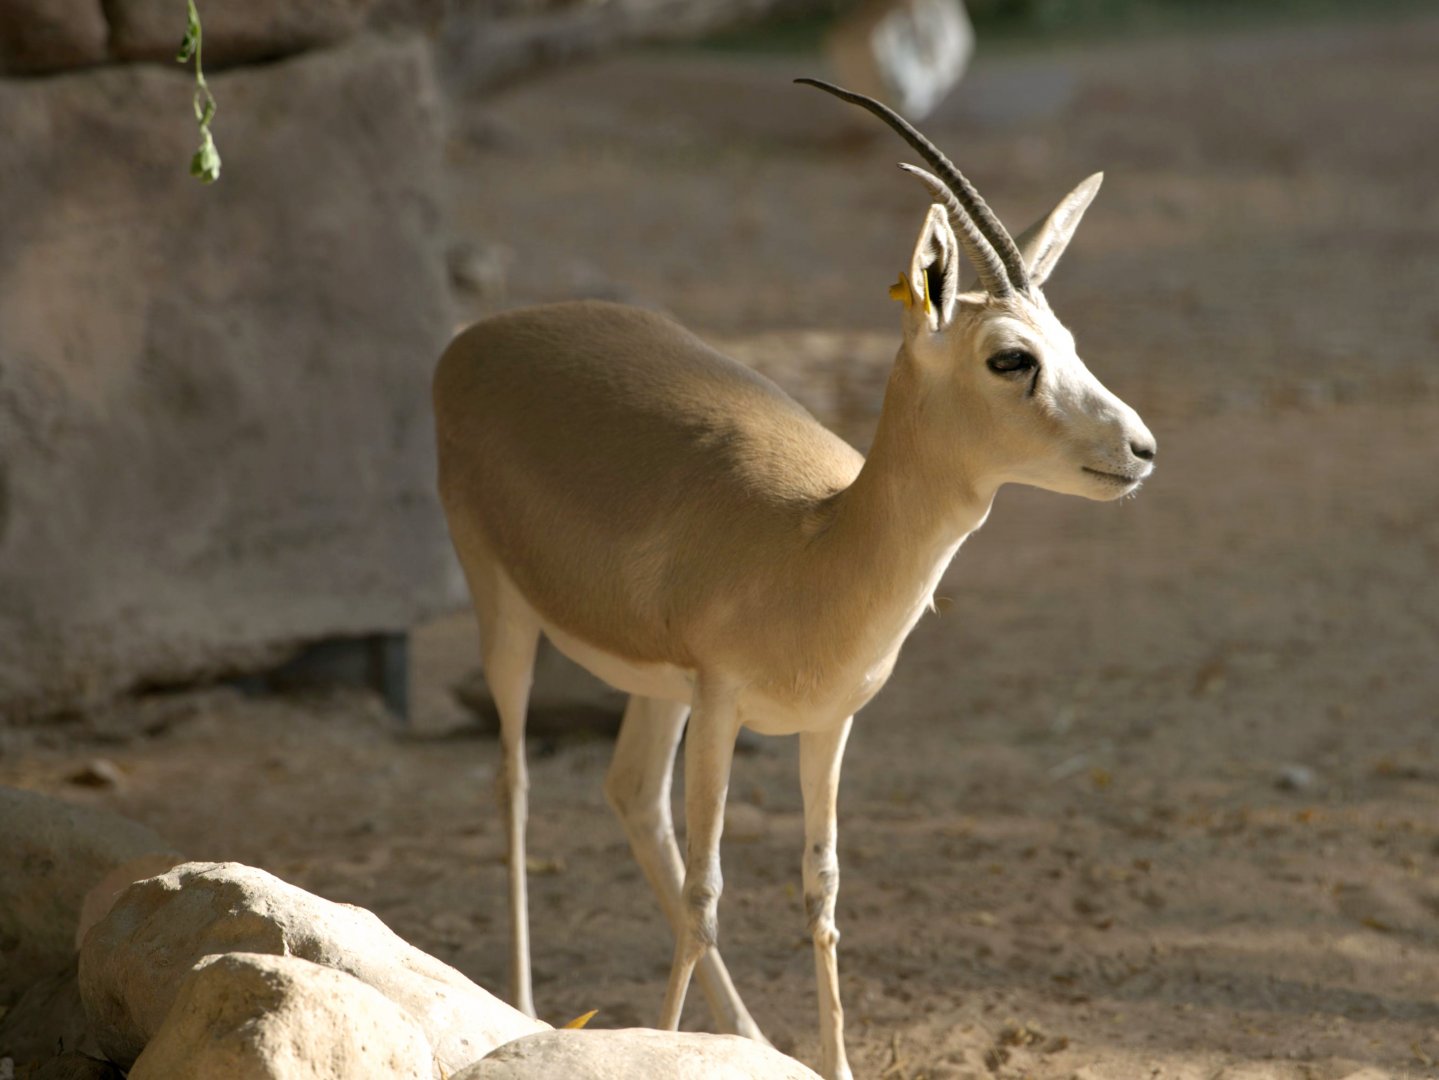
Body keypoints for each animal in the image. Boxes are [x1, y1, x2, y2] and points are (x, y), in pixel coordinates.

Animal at [433, 79, 1156, 1080]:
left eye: (1071, 341)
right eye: (1011, 357)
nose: (1140, 449)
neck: (813, 547)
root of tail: (476, 340)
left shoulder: (826, 723)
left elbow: (821, 886)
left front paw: (830, 1061)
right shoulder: (723, 705)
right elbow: (708, 889)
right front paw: (660, 1049)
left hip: (655, 688)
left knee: (631, 794)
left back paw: (745, 1035)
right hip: (501, 601)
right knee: (514, 781)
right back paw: (537, 1010)